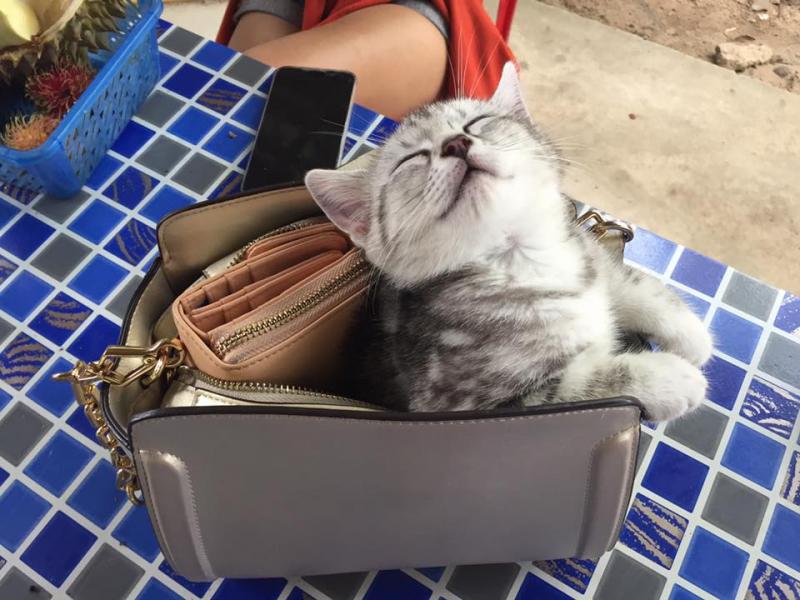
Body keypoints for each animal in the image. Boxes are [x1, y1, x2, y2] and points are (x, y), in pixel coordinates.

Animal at [305, 62, 713, 421]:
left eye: (476, 123)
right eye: (411, 159)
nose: (456, 143)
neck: (524, 259)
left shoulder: (590, 258)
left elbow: (636, 285)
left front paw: (694, 337)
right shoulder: (460, 402)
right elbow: (576, 390)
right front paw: (670, 378)